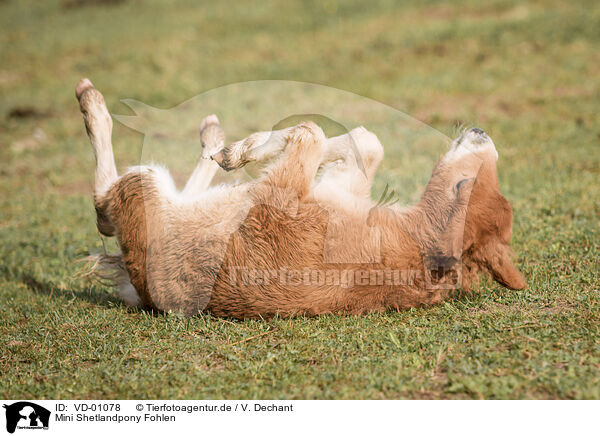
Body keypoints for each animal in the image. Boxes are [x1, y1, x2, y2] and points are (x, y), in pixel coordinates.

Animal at [76, 77, 524, 316]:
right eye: (484, 180)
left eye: (464, 184)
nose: (482, 132)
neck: (411, 241)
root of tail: (136, 281)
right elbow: (364, 141)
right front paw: (242, 148)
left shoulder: (284, 193)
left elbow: (311, 132)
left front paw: (245, 151)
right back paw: (214, 136)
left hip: (143, 188)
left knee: (102, 204)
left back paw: (92, 100)